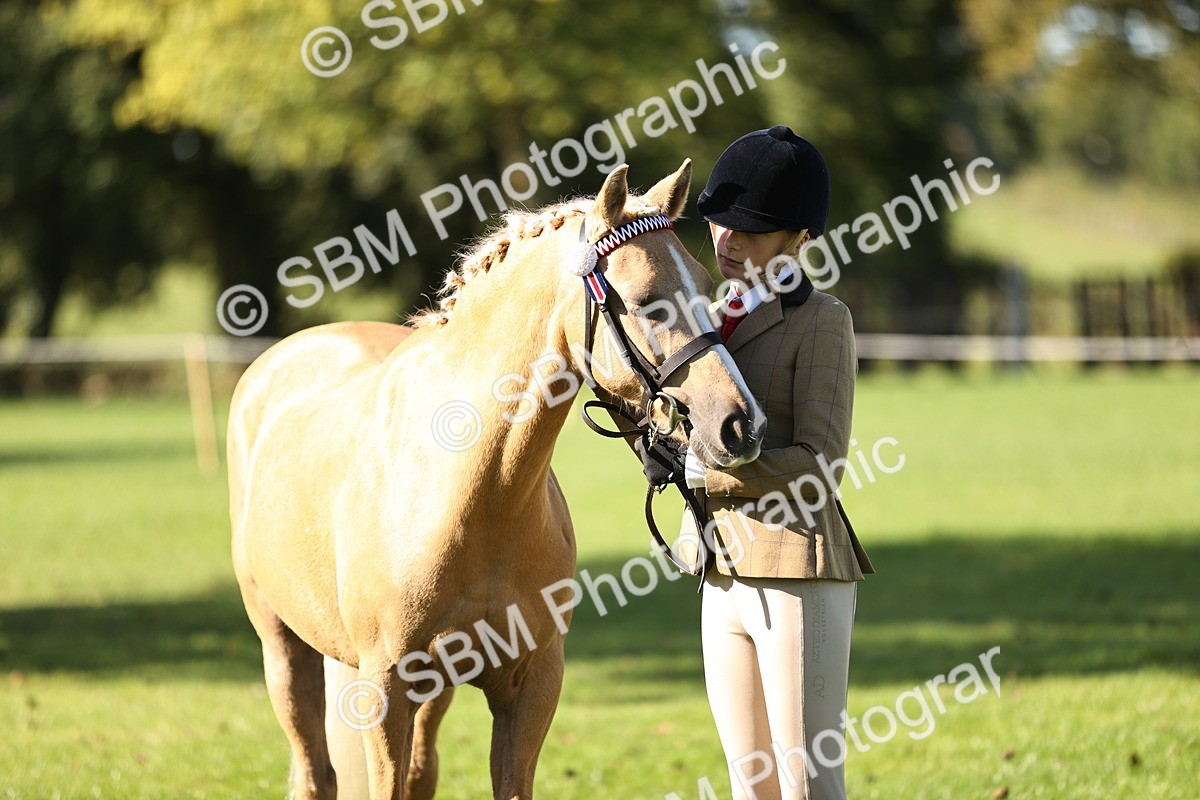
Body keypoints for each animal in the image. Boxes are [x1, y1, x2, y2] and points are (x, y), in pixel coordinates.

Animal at [227, 160, 765, 800]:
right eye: (647, 302)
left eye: (708, 290)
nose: (740, 424)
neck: (474, 500)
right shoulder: (384, 689)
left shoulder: (530, 683)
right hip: (283, 651)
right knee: (314, 772)